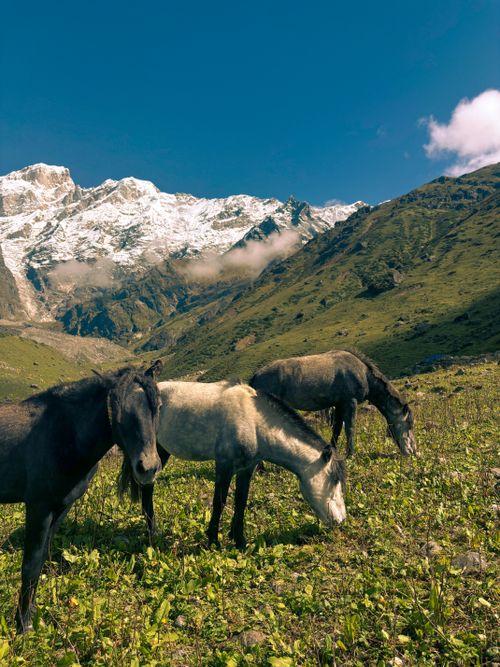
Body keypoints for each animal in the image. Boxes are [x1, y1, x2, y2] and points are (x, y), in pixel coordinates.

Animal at [0, 361, 163, 632]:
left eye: (157, 407)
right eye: (119, 408)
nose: (148, 468)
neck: (64, 435)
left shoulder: (60, 507)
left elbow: (41, 559)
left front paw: (31, 614)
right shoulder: (39, 507)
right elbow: (30, 565)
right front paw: (24, 625)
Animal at [119, 380, 346, 549]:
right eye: (334, 480)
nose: (341, 520)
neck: (254, 422)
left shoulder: (247, 468)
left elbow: (240, 501)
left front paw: (239, 540)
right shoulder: (224, 466)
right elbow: (219, 501)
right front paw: (213, 540)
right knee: (147, 487)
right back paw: (153, 532)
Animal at [250, 349, 417, 458]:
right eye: (409, 424)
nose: (414, 451)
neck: (363, 373)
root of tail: (255, 376)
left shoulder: (338, 405)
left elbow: (337, 429)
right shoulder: (350, 402)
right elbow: (349, 428)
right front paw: (350, 454)